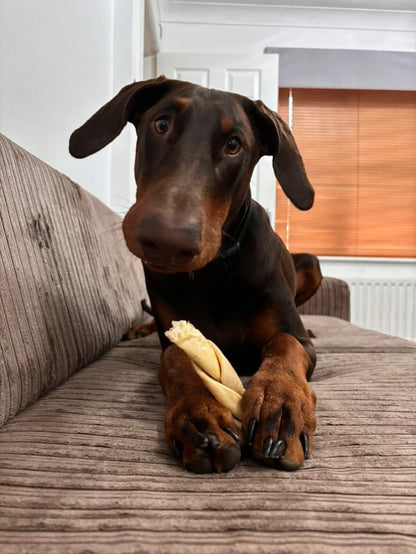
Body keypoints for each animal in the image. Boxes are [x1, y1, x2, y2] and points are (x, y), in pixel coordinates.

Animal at [70, 75, 320, 472]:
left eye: (234, 145)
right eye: (161, 124)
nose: (167, 241)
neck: (213, 274)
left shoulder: (294, 336)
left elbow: (286, 343)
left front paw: (281, 406)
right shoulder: (175, 335)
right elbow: (176, 358)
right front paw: (198, 415)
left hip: (312, 263)